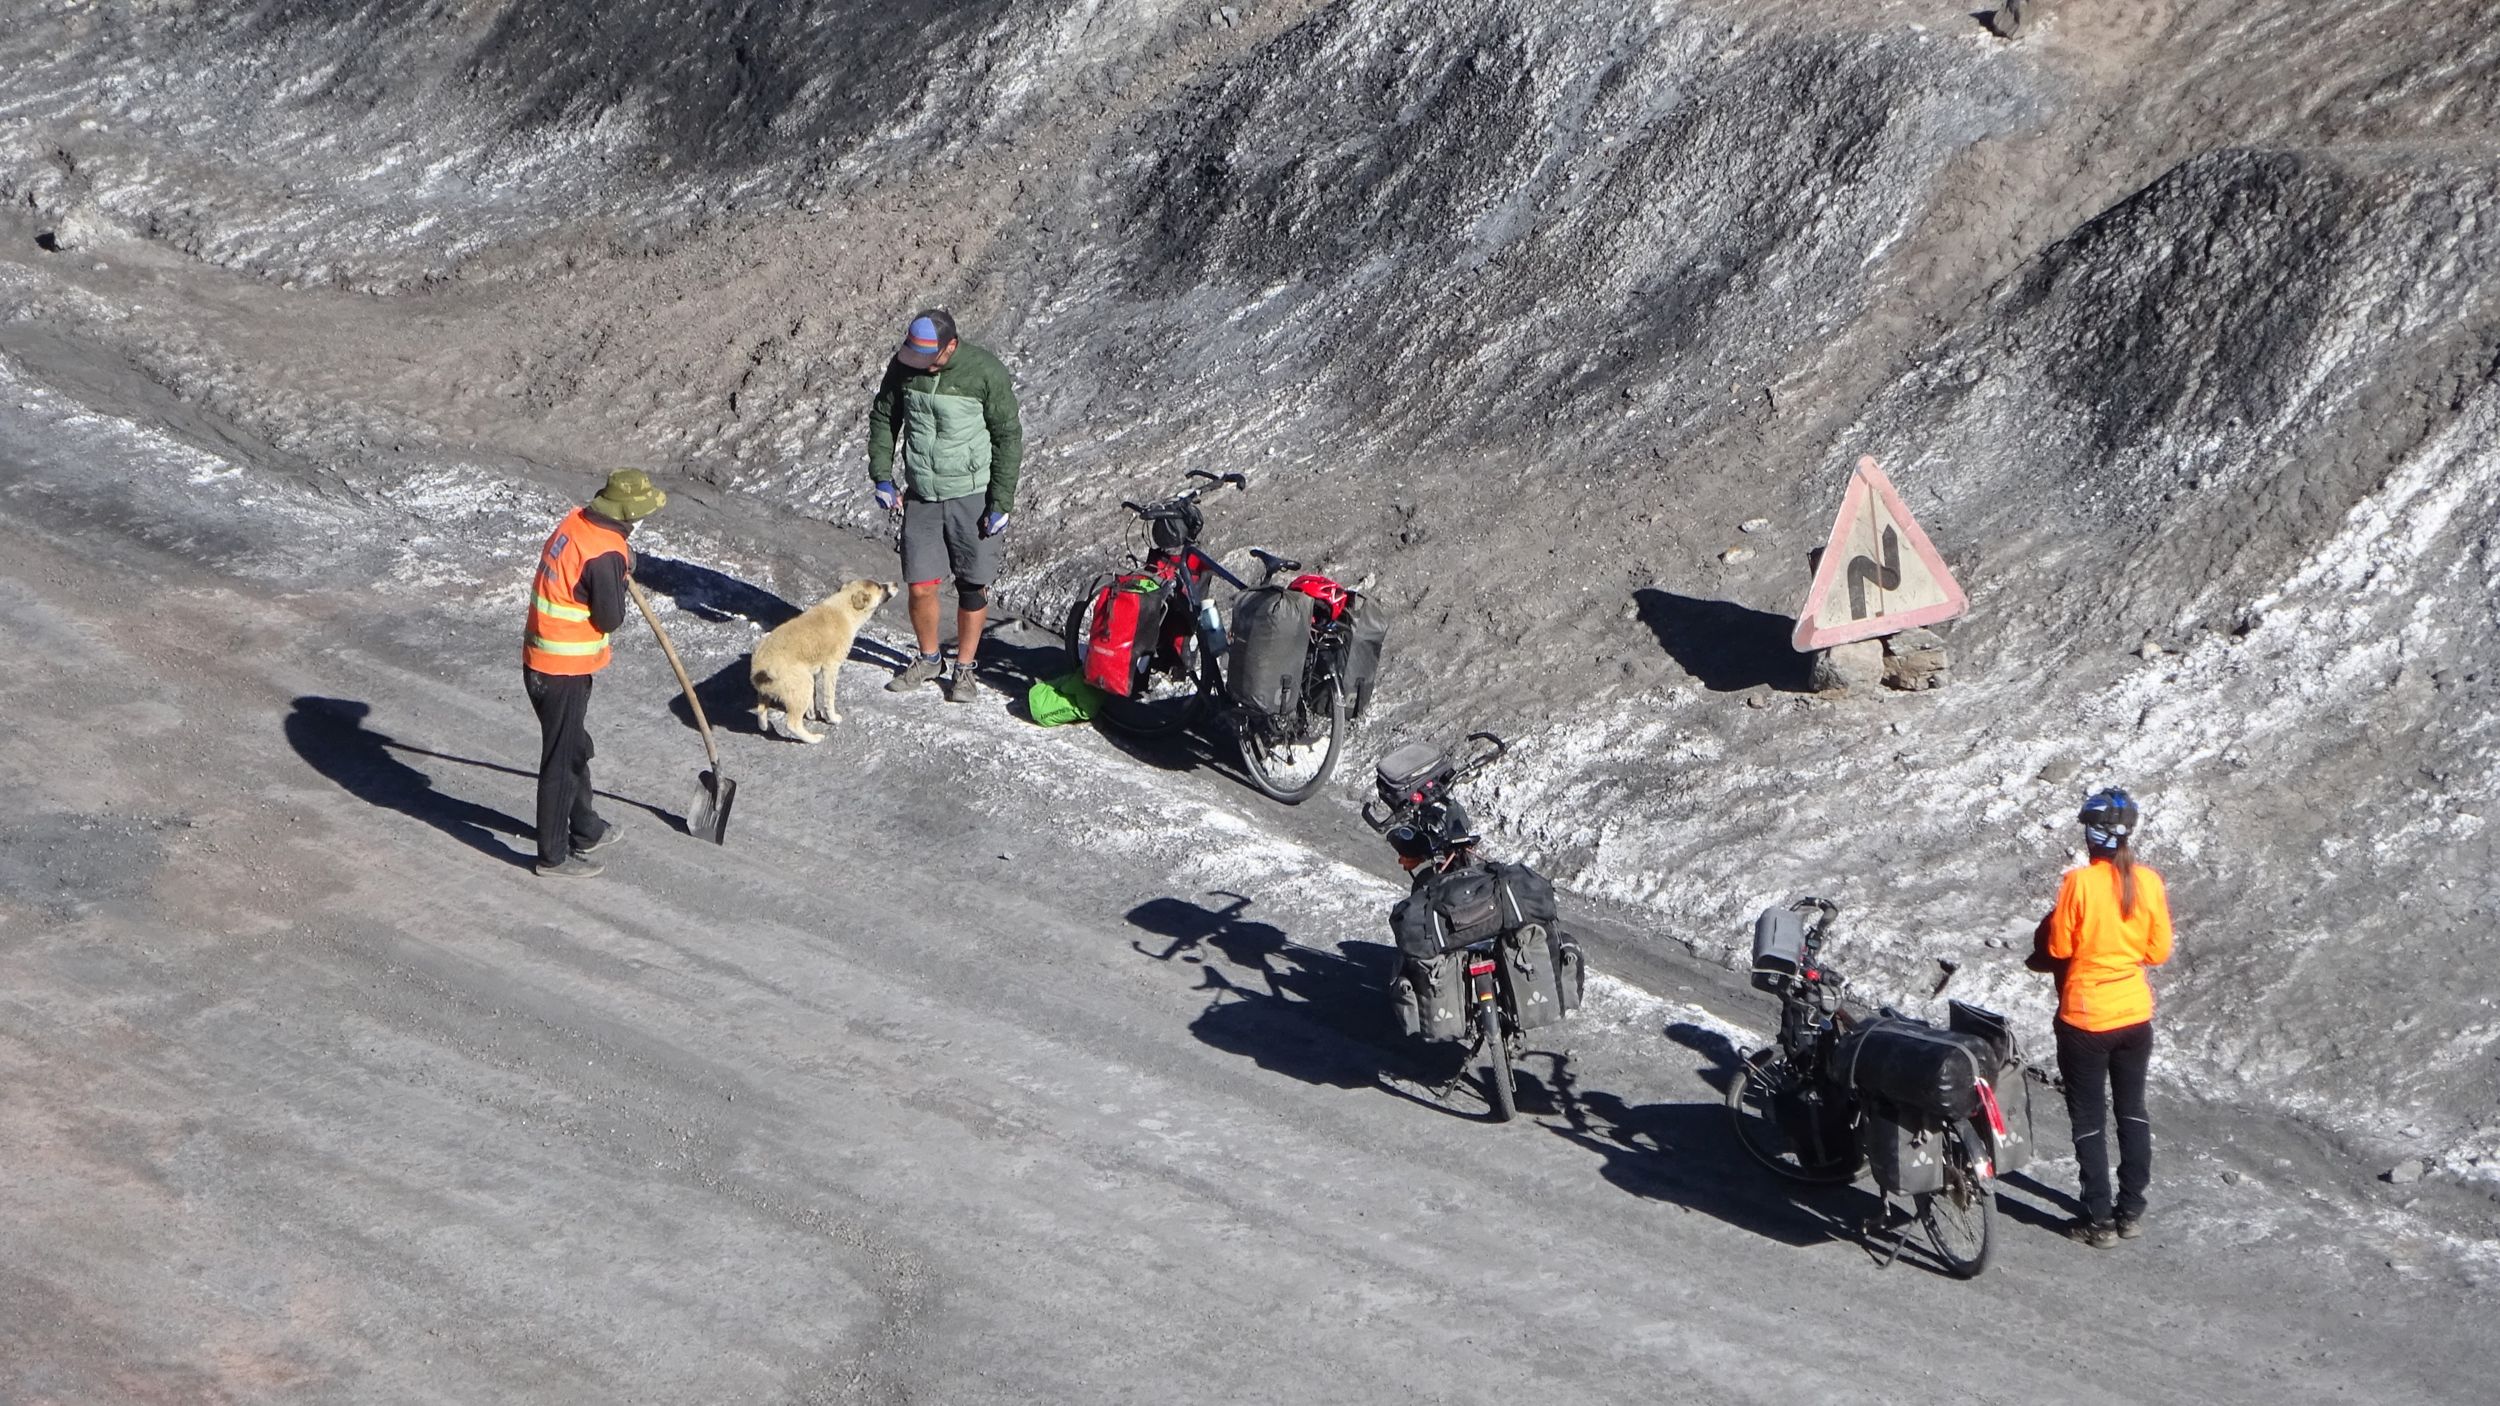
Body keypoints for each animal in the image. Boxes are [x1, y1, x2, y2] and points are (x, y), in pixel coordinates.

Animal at [749, 579, 896, 742]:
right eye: (879, 587)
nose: (896, 583)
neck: (844, 606)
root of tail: (760, 667)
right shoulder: (831, 668)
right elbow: (829, 698)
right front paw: (832, 718)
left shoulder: (813, 670)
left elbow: (813, 699)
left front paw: (812, 715)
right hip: (802, 685)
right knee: (792, 724)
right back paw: (813, 739)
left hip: (768, 691)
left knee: (761, 711)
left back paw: (766, 726)